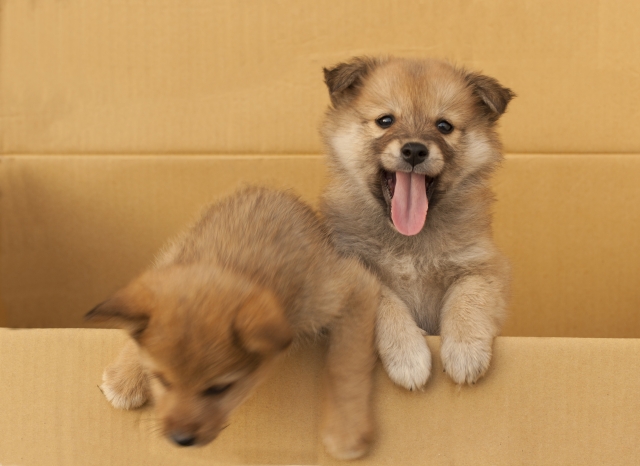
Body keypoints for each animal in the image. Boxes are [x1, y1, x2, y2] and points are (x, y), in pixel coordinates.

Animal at [320, 55, 516, 390]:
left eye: (444, 126)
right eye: (385, 120)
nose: (414, 150)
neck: (410, 240)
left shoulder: (482, 267)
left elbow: (468, 297)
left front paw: (465, 352)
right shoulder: (351, 272)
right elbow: (384, 303)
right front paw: (408, 356)